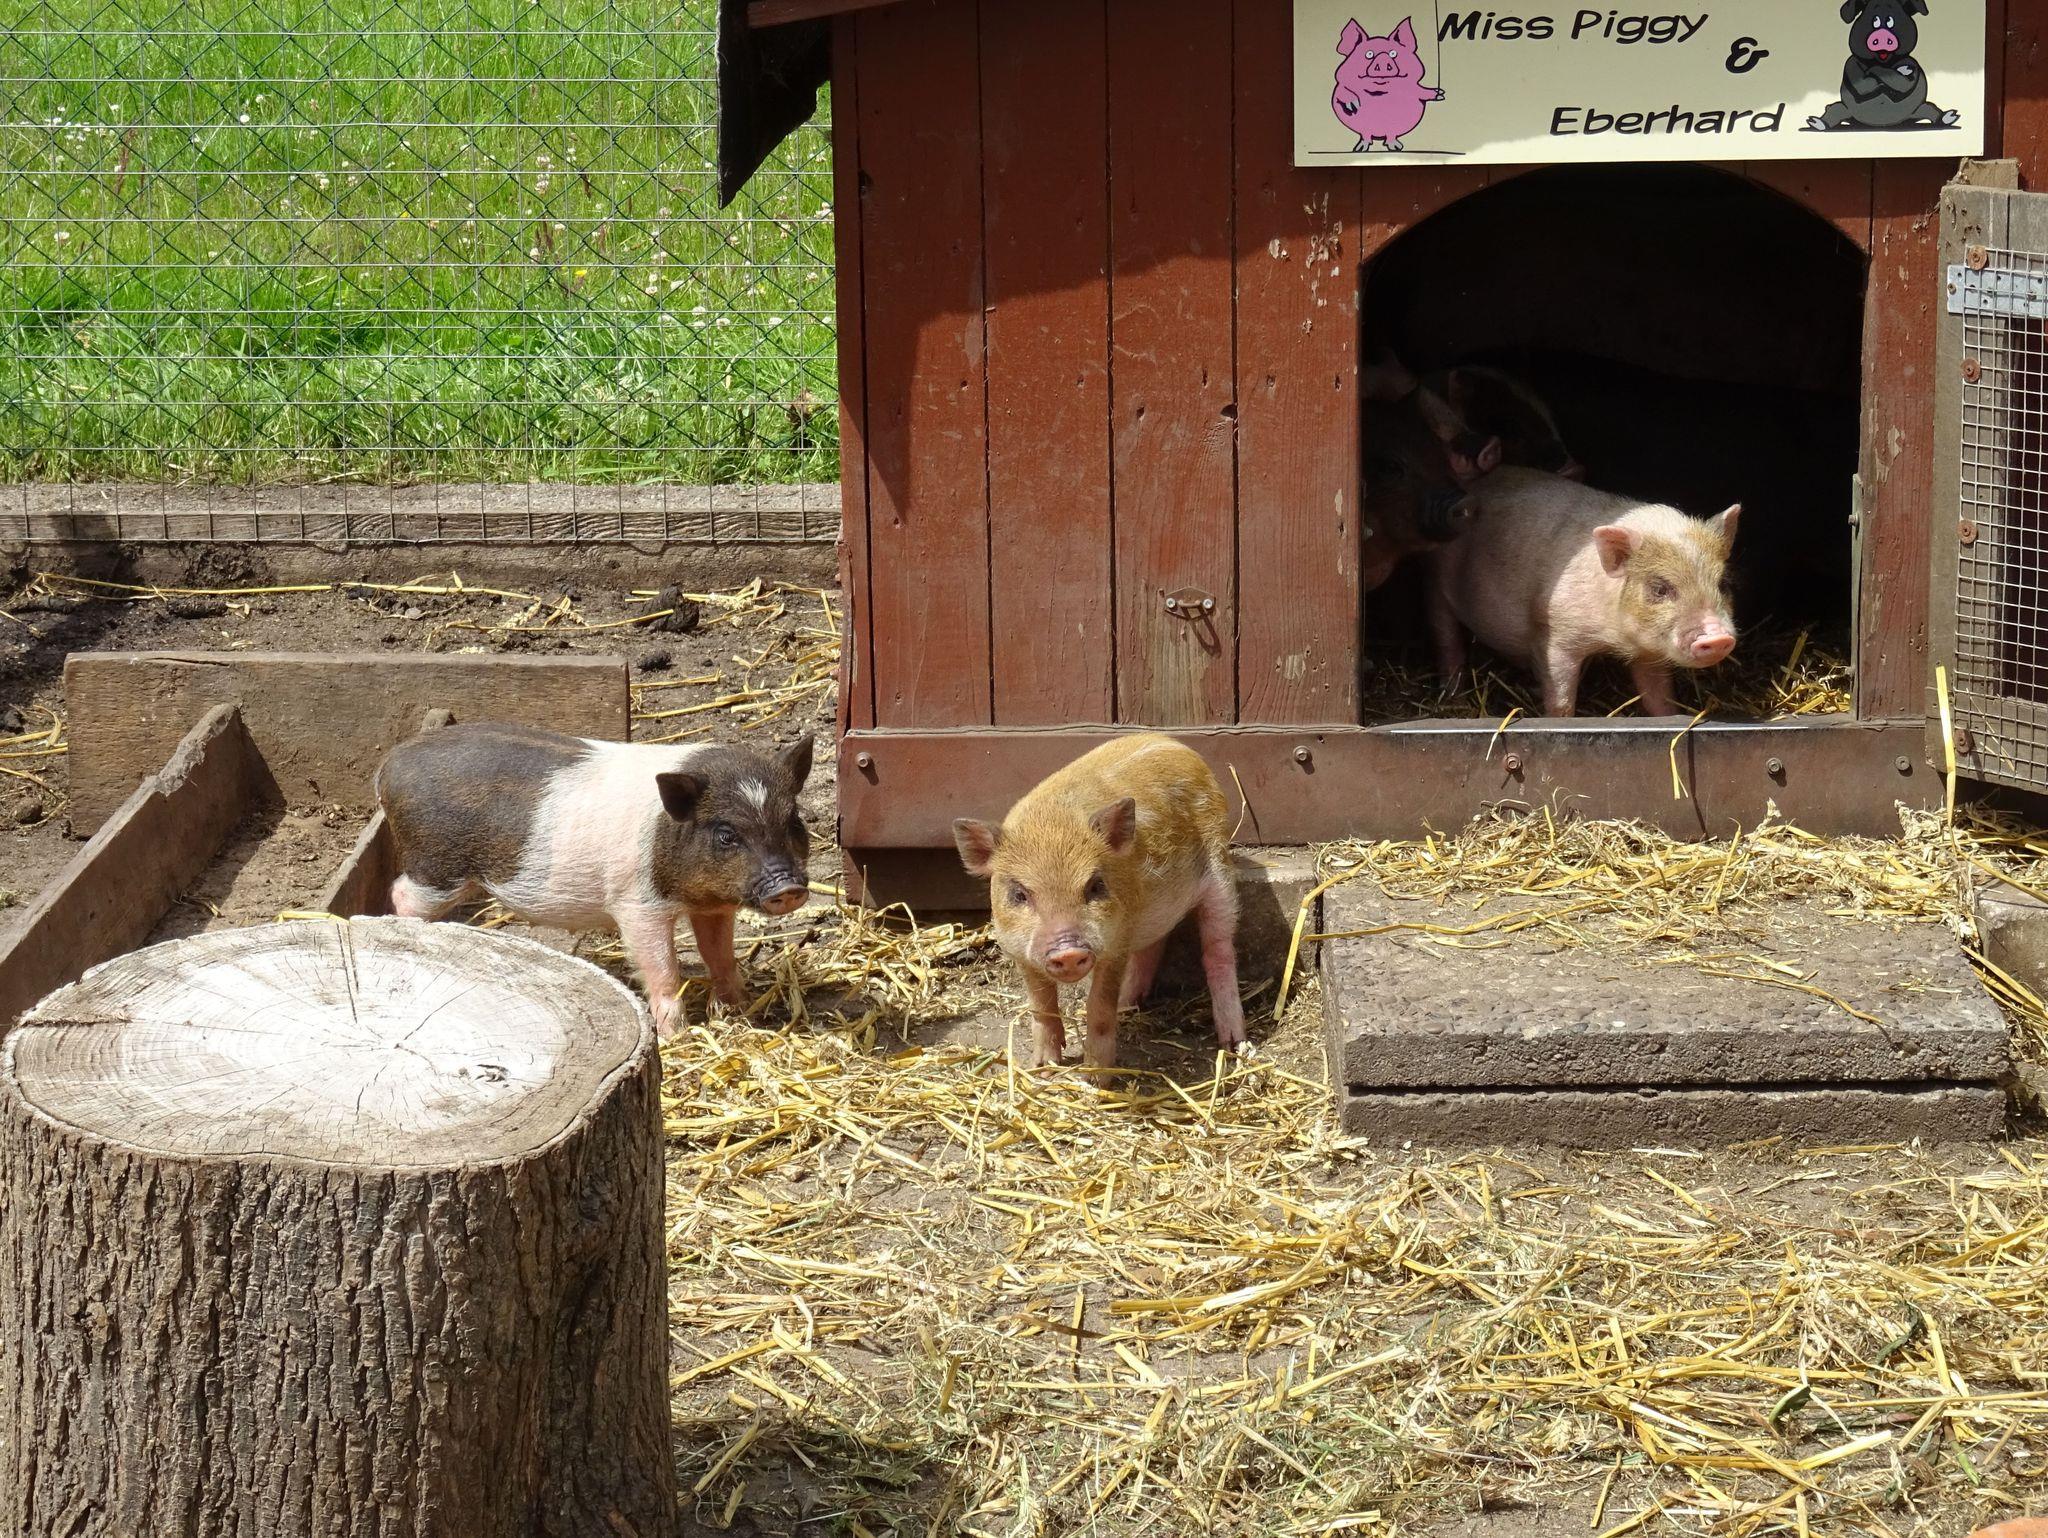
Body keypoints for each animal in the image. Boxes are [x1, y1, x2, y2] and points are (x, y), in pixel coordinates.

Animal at [375, 722, 813, 1037]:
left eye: (793, 820)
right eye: (726, 834)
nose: (787, 887)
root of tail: (390, 765)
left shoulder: (713, 906)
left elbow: (720, 956)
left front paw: (741, 1010)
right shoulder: (636, 906)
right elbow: (663, 970)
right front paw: (675, 1036)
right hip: (435, 865)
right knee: (400, 894)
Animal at [951, 734, 1245, 1075]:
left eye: (1094, 886)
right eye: (1019, 894)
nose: (1067, 950)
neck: (1051, 824)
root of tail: (1176, 744)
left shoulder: (1116, 943)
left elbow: (1099, 1006)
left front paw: (1095, 1076)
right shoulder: (1016, 949)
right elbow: (1042, 1005)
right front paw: (1044, 1068)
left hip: (1220, 875)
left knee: (1218, 952)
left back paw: (1234, 1043)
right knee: (1153, 946)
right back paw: (1128, 1006)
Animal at [1332, 17, 1443, 151]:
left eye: (1393, 54)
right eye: (1369, 54)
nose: (1383, 58)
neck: (1380, 92)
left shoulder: (1414, 89)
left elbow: (1421, 91)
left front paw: (1440, 94)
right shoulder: (1339, 86)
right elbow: (1342, 90)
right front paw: (1353, 106)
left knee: (1390, 135)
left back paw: (1395, 147)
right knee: (1366, 135)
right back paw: (1361, 148)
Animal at [1427, 467, 1740, 717]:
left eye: (1723, 583)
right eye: (1660, 588)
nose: (1718, 637)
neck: (1613, 638)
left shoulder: (1648, 652)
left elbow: (1658, 695)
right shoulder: (1555, 635)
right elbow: (1561, 700)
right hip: (1437, 582)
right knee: (1447, 639)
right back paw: (1452, 697)